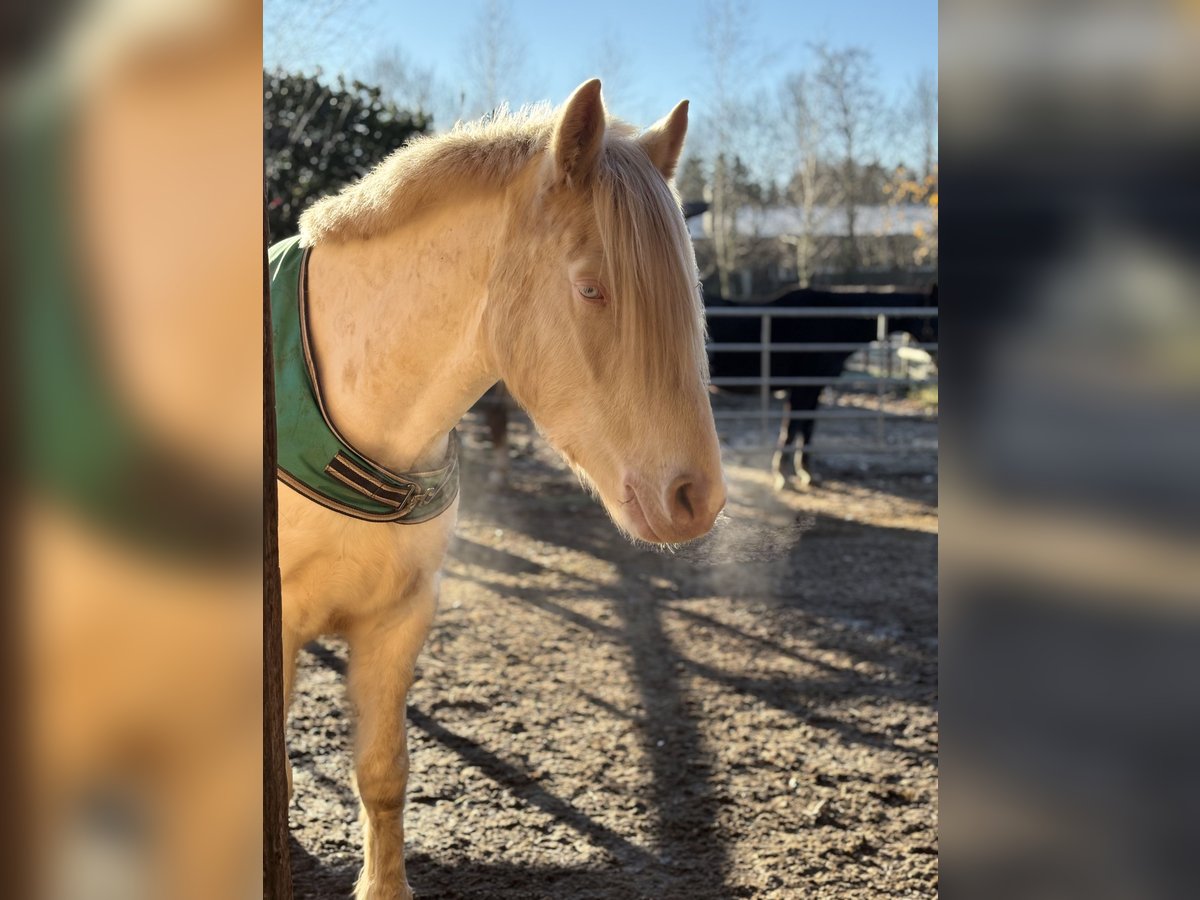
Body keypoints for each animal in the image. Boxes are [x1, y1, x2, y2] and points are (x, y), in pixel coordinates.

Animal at [700, 285, 936, 489]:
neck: (829, 322)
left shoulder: (814, 388)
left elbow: (807, 427)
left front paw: (805, 472)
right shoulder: (802, 388)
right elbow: (792, 428)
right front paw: (782, 475)